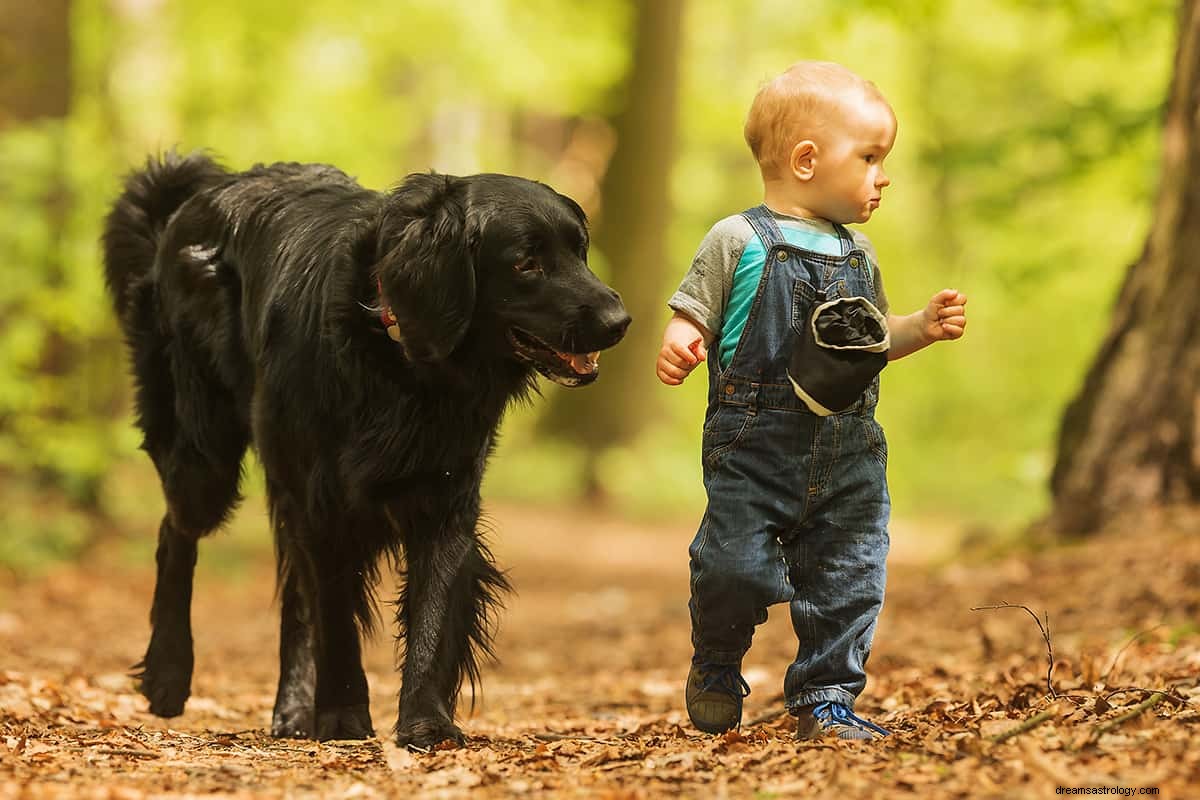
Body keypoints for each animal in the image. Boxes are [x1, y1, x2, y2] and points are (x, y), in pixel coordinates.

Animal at [102, 153, 628, 748]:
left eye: (580, 250)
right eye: (526, 263)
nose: (620, 322)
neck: (401, 357)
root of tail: (208, 187)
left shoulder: (445, 498)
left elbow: (430, 612)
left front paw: (424, 720)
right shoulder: (322, 504)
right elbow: (334, 615)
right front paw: (342, 717)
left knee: (290, 594)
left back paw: (291, 712)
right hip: (204, 458)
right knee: (176, 534)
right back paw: (168, 674)